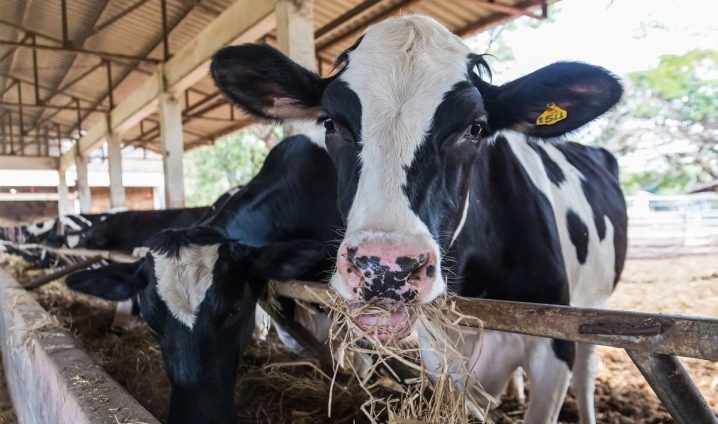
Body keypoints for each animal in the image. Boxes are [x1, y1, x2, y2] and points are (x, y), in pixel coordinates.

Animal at [211, 15, 628, 424]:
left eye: (475, 127)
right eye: (330, 122)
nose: (384, 268)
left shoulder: (554, 350)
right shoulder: (439, 350)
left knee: (587, 369)